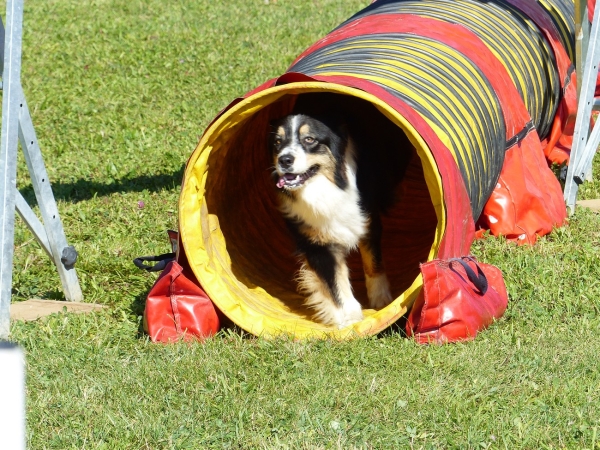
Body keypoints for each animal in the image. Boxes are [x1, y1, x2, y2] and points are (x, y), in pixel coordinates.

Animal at [270, 94, 412, 326]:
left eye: (309, 140)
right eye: (277, 142)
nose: (285, 160)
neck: (324, 186)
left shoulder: (367, 220)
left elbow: (373, 263)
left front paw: (381, 300)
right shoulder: (317, 243)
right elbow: (334, 283)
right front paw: (349, 319)